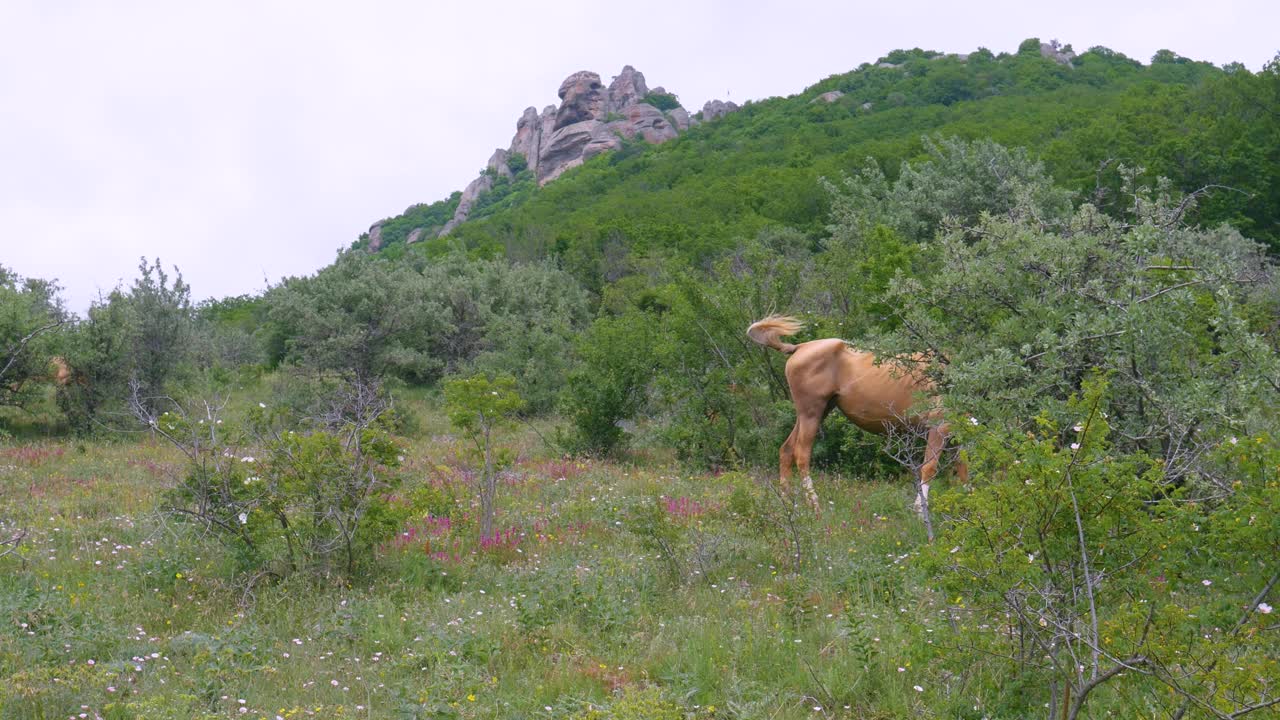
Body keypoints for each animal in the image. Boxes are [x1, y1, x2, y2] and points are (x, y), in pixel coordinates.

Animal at [747, 313, 962, 509]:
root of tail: (799, 347)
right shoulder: (939, 427)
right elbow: (930, 468)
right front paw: (920, 510)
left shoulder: (955, 437)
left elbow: (962, 472)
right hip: (811, 413)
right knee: (801, 454)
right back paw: (815, 505)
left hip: (814, 413)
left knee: (786, 450)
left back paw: (787, 503)